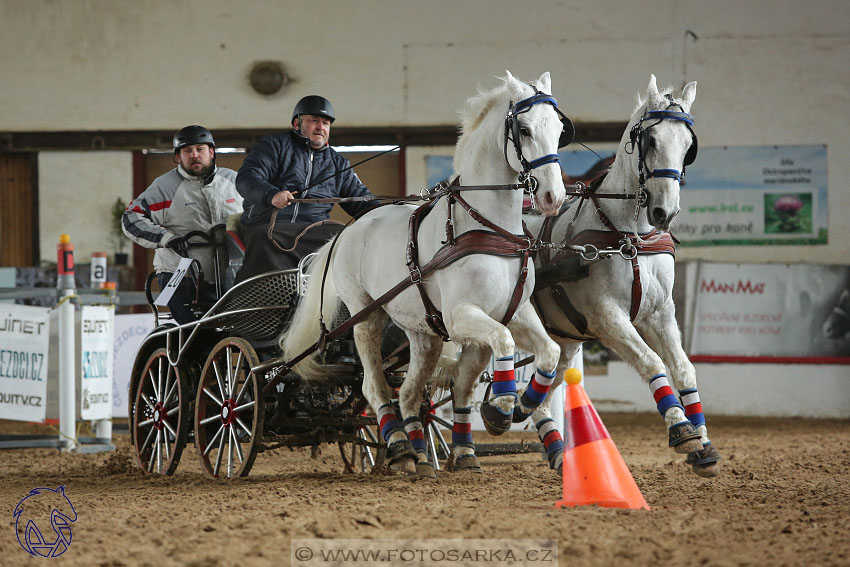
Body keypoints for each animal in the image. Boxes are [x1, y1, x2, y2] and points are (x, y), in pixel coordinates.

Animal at [282, 73, 568, 478]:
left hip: (424, 334)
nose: (552, 197)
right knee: (374, 387)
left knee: (409, 392)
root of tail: (345, 232)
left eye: (559, 128)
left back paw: (422, 451)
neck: (488, 228)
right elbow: (505, 343)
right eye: (524, 129)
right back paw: (401, 447)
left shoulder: (515, 311)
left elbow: (548, 352)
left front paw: (525, 405)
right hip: (366, 316)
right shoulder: (462, 315)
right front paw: (500, 408)